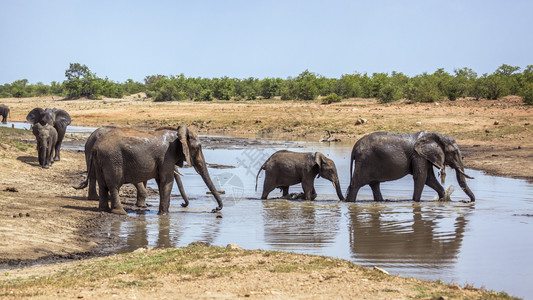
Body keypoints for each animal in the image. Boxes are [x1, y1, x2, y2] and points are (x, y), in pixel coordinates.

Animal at [74, 125, 220, 214]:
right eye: (198, 147)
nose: (215, 209)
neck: (177, 132)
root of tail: (95, 147)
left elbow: (161, 181)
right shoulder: (166, 156)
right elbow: (167, 181)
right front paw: (164, 215)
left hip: (101, 159)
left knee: (103, 184)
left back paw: (103, 209)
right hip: (112, 159)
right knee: (114, 184)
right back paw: (121, 213)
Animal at [342, 131, 476, 202]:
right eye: (454, 152)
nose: (467, 201)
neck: (435, 135)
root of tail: (355, 147)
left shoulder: (423, 156)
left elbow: (429, 179)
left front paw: (445, 200)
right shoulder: (418, 156)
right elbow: (421, 177)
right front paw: (416, 202)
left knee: (374, 184)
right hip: (365, 161)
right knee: (356, 185)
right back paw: (350, 202)